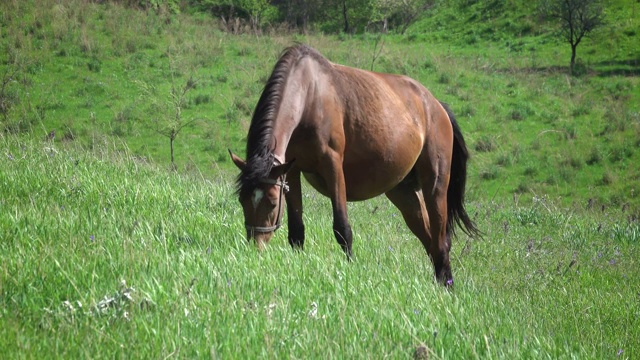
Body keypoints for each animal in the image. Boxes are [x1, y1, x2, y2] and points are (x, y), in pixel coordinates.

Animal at [231, 43, 480, 286]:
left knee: (440, 240)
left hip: (435, 185)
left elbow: (342, 228)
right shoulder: (291, 171)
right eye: (242, 200)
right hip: (403, 192)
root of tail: (436, 106)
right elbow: (296, 230)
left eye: (272, 203)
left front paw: (349, 271)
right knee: (430, 240)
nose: (255, 246)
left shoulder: (332, 166)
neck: (310, 95)